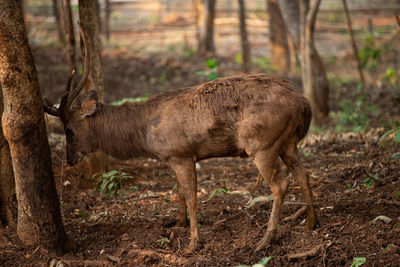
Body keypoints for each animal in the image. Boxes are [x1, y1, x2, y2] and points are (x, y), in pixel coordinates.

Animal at [44, 24, 318, 253]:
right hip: (287, 141)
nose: (69, 159)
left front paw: (193, 243)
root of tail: (304, 104)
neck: (144, 134)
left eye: (69, 130)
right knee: (303, 173)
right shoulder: (174, 157)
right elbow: (178, 193)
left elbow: (192, 196)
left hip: (261, 143)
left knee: (280, 184)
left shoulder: (181, 153)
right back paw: (310, 224)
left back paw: (265, 240)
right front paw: (177, 223)